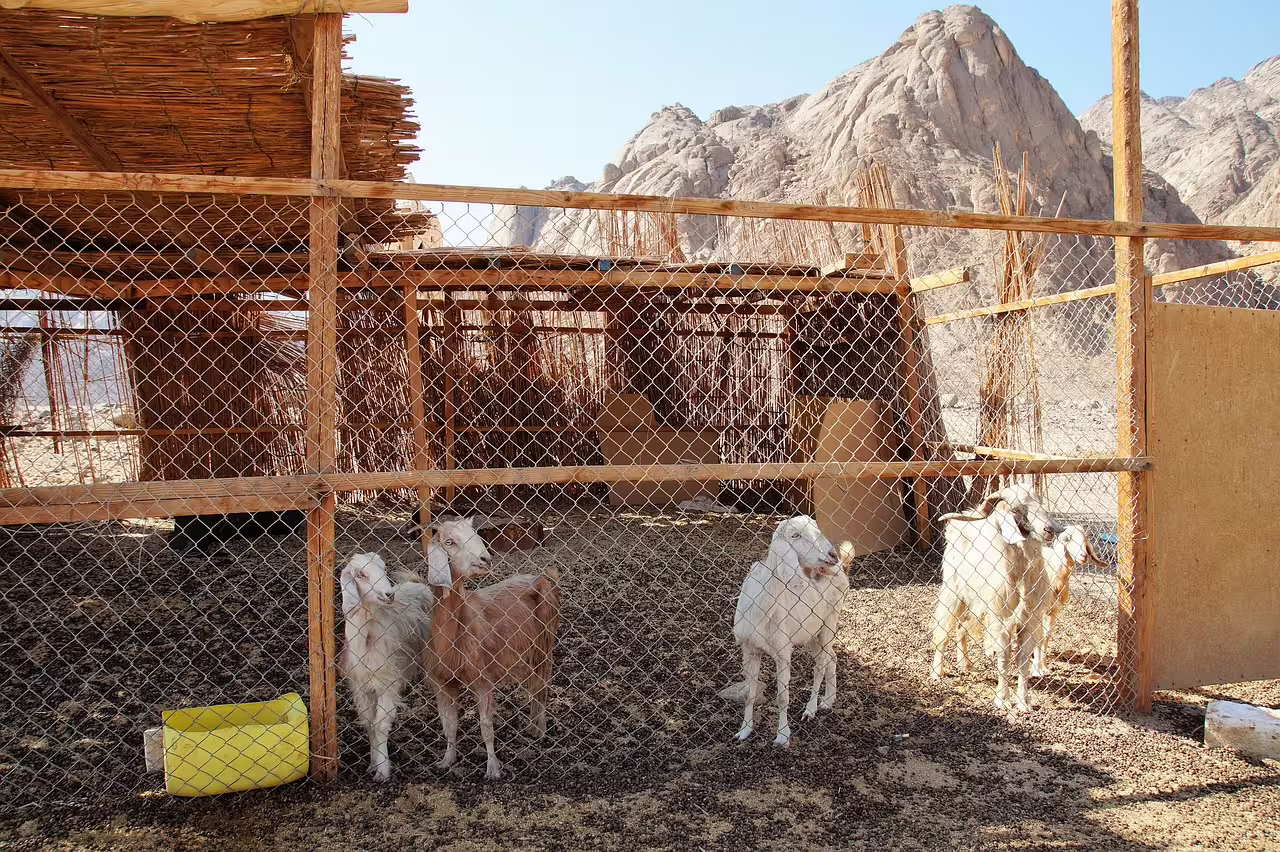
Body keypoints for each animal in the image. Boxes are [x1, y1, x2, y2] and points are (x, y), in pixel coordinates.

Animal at [338, 552, 433, 782]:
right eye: (361, 574)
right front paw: (372, 764)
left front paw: (382, 771)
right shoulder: (361, 686)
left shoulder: (387, 682)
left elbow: (380, 724)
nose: (389, 594)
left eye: (383, 568)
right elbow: (369, 722)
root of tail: (416, 583)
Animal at [421, 516, 561, 781]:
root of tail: (541, 577)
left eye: (477, 536)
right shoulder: (441, 681)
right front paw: (446, 761)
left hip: (545, 643)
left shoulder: (482, 678)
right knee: (534, 685)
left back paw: (540, 729)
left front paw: (493, 769)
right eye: (449, 541)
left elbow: (486, 727)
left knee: (542, 686)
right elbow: (448, 724)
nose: (485, 559)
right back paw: (531, 725)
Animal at [724, 515, 850, 747]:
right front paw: (744, 731)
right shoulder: (749, 649)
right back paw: (828, 701)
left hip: (830, 620)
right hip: (811, 633)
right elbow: (749, 694)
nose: (832, 555)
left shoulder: (783, 650)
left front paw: (782, 736)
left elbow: (782, 697)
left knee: (821, 663)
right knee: (832, 657)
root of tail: (841, 570)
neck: (761, 607)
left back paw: (810, 709)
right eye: (795, 535)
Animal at [929, 491, 1056, 711]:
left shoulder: (1029, 619)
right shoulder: (1001, 617)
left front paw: (1024, 702)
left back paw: (966, 664)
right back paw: (937, 671)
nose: (1049, 530)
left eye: (1039, 502)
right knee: (944, 627)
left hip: (973, 600)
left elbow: (1023, 658)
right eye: (1016, 508)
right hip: (953, 592)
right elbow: (1004, 655)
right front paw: (1003, 699)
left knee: (961, 627)